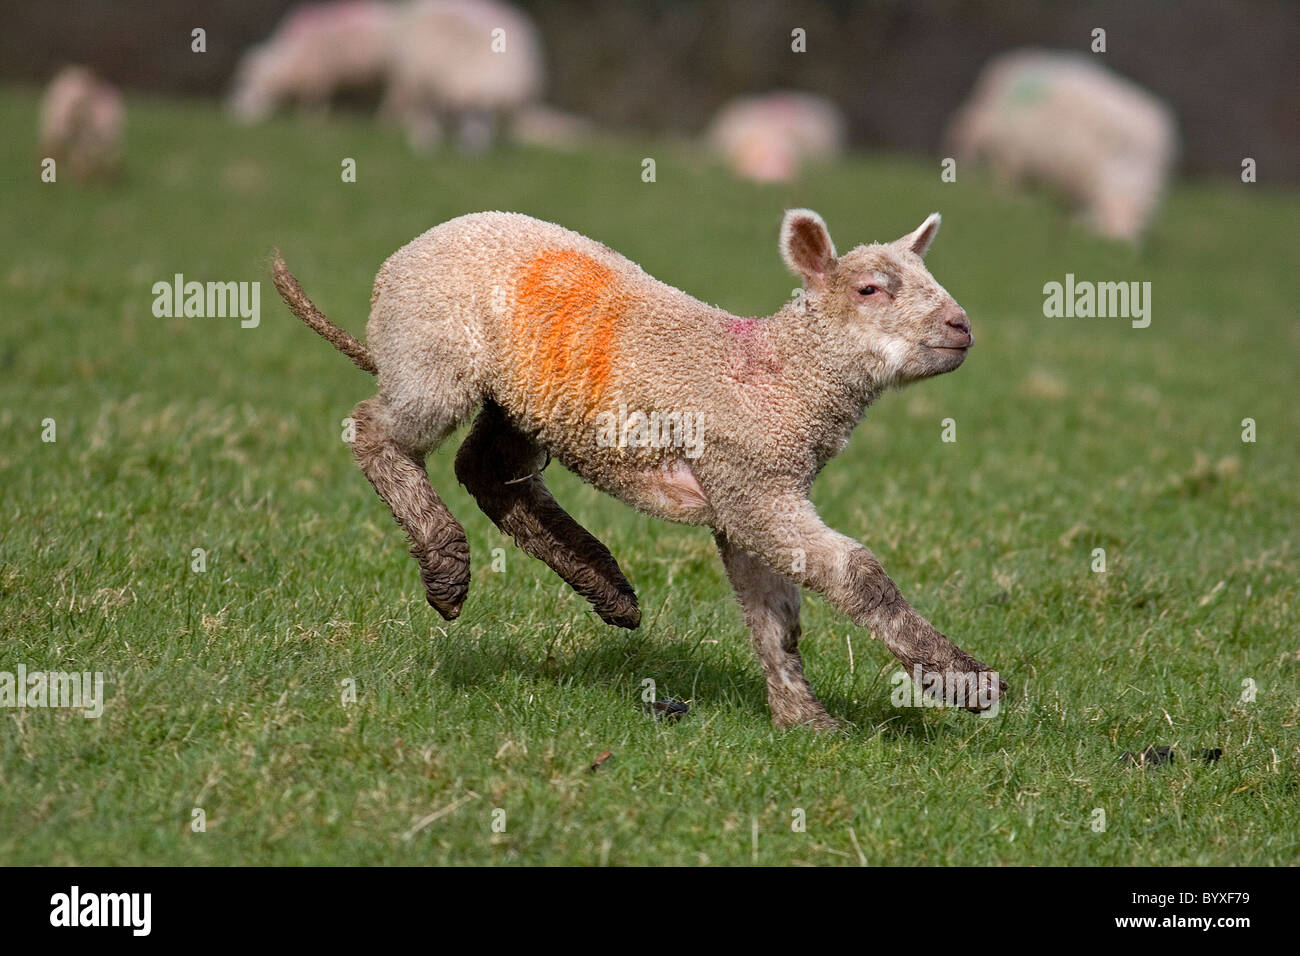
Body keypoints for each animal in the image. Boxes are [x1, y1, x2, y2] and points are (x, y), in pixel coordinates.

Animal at [271, 210, 1003, 733]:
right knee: (377, 432)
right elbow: (859, 575)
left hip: (527, 396)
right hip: (434, 354)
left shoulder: (747, 495)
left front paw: (805, 720)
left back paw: (605, 586)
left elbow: (777, 617)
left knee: (487, 469)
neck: (780, 373)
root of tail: (404, 255)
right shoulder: (754, 484)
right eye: (869, 289)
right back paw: (446, 563)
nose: (961, 326)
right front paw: (966, 682)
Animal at [384, 0, 548, 151]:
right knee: (422, 111)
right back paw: (424, 141)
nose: (472, 148)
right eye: (468, 112)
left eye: (486, 115)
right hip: (416, 79)